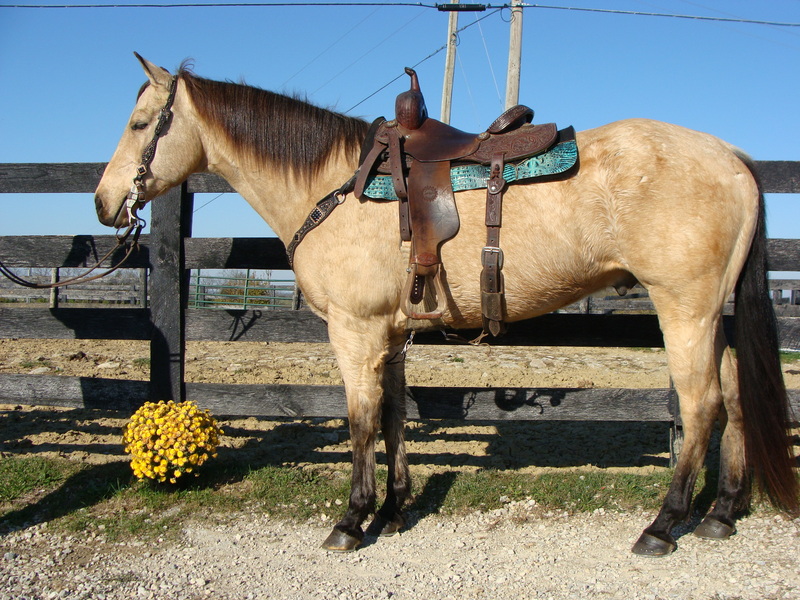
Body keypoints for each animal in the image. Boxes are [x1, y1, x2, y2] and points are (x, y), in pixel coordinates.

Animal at [95, 54, 800, 556]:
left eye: (139, 124)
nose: (104, 204)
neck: (334, 186)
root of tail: (731, 157)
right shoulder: (390, 332)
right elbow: (393, 417)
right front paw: (395, 508)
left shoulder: (354, 331)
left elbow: (360, 421)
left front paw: (352, 520)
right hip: (714, 314)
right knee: (736, 396)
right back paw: (720, 513)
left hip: (685, 308)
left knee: (702, 405)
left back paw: (663, 525)